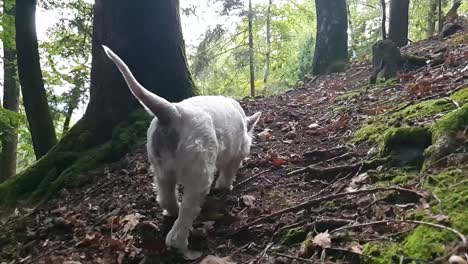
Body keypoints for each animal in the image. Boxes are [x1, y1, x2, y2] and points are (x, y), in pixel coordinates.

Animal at [102, 46, 262, 260]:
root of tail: (172, 112)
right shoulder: (237, 152)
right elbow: (227, 174)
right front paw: (226, 186)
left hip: (160, 169)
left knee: (166, 198)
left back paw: (172, 211)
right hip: (198, 174)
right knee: (186, 214)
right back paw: (180, 244)